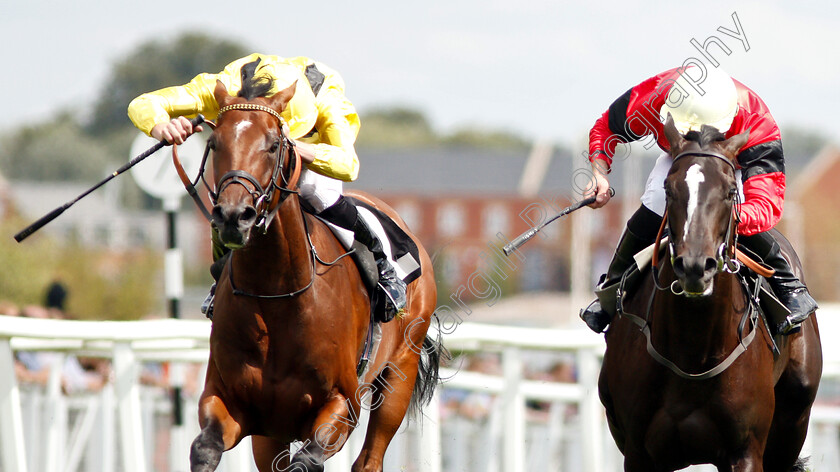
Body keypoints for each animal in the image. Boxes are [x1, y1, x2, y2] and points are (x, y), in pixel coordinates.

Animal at [188, 78, 442, 472]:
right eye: (214, 143)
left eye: (273, 144)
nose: (233, 216)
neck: (274, 295)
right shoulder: (231, 402)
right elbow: (205, 448)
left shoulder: (341, 406)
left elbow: (306, 461)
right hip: (270, 434)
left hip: (399, 374)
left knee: (369, 459)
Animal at [600, 115, 824, 472]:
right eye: (669, 189)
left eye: (731, 191)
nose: (695, 266)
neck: (693, 349)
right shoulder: (638, 454)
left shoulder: (745, 452)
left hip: (792, 422)